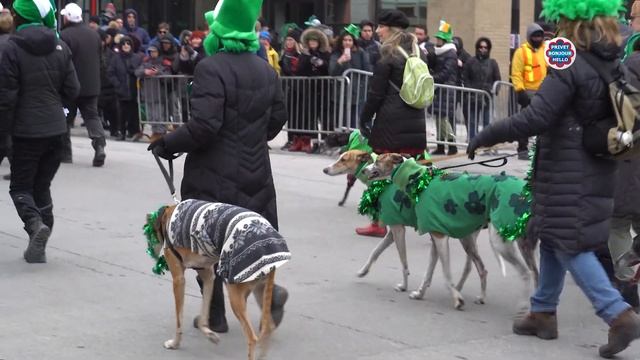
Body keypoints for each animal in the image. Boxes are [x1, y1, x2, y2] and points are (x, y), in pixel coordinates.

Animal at [148, 200, 290, 360]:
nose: (152, 253)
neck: (168, 215)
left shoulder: (179, 280)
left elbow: (179, 319)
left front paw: (175, 343)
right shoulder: (208, 276)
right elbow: (204, 315)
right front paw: (209, 334)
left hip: (236, 295)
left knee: (252, 338)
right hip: (260, 288)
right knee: (269, 326)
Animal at [322, 149, 488, 304]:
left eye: (343, 159)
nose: (325, 170)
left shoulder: (398, 229)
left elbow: (403, 262)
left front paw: (404, 286)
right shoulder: (392, 232)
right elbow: (375, 252)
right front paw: (363, 271)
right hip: (467, 238)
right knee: (472, 267)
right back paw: (463, 291)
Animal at [362, 153, 536, 310]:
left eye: (378, 160)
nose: (364, 170)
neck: (419, 181)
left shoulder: (434, 237)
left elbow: (444, 274)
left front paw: (457, 299)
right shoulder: (433, 237)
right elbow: (427, 273)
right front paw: (419, 293)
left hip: (499, 242)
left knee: (526, 273)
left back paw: (523, 306)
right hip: (477, 240)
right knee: (487, 269)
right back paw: (483, 297)